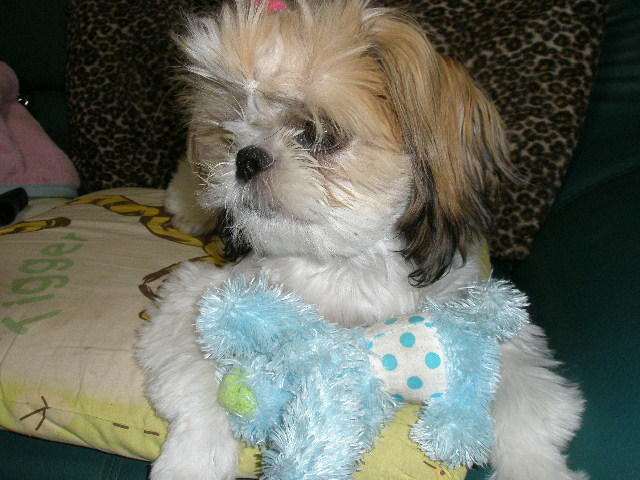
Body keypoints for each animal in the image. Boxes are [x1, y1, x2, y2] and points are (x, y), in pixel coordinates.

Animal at [137, 1, 586, 478]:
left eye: (318, 134)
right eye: (229, 131)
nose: (246, 157)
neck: (349, 264)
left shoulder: (482, 315)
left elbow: (525, 405)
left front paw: (537, 467)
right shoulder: (200, 296)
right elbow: (201, 384)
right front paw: (191, 460)